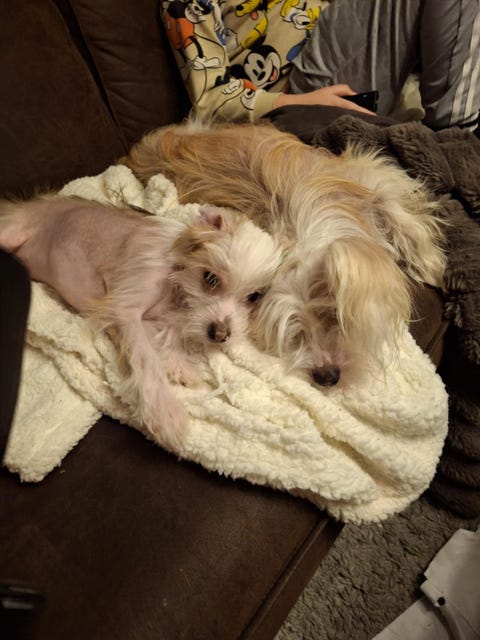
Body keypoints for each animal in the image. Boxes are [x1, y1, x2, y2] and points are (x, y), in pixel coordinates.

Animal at [0, 195, 281, 447]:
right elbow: (147, 360)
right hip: (11, 232)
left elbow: (165, 338)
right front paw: (164, 411)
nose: (220, 334)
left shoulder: (153, 319)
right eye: (210, 278)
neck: (176, 289)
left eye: (254, 297)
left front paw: (178, 365)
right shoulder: (126, 311)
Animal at [120, 120, 446, 387]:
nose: (327, 377)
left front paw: (430, 266)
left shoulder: (365, 180)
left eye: (334, 316)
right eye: (292, 328)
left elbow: (398, 213)